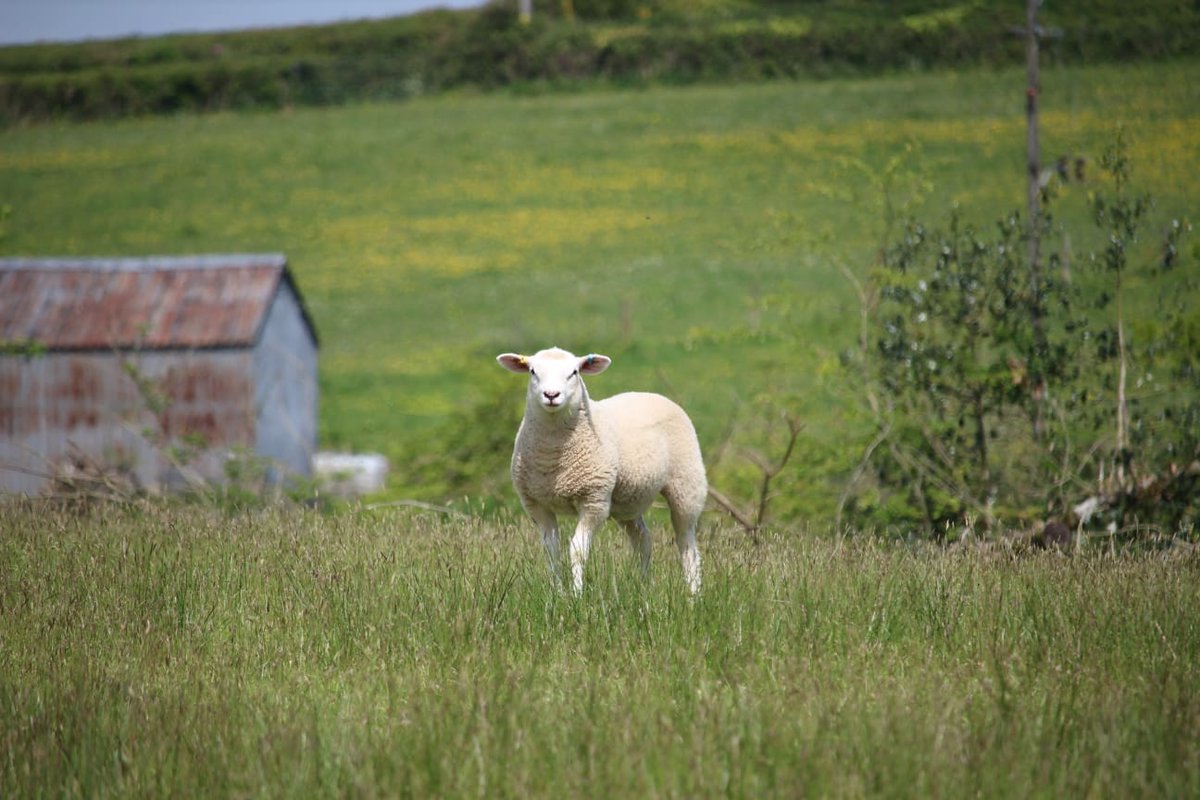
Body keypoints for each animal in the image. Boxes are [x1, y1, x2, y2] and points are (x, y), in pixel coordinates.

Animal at [496, 347, 706, 595]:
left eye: (574, 372)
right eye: (532, 371)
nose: (551, 395)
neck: (554, 457)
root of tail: (653, 394)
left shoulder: (593, 501)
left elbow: (577, 550)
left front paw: (577, 595)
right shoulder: (537, 505)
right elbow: (551, 552)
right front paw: (557, 594)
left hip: (687, 484)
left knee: (687, 545)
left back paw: (693, 594)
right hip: (627, 501)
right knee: (643, 540)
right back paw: (642, 586)